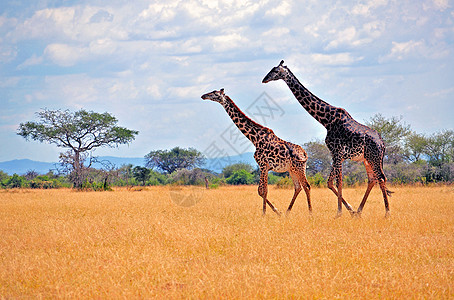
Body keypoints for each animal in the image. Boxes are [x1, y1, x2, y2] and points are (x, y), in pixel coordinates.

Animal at [202, 87, 312, 216]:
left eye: (215, 93)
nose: (203, 96)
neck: (254, 139)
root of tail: (304, 153)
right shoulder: (266, 167)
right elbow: (261, 191)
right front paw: (277, 212)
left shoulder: (263, 165)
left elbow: (263, 190)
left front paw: (264, 214)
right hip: (292, 169)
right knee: (298, 187)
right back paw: (286, 212)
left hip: (299, 167)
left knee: (306, 186)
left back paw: (310, 213)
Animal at [260, 59, 392, 217]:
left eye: (275, 70)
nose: (264, 79)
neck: (326, 120)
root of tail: (382, 143)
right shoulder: (337, 154)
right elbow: (330, 182)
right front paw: (350, 210)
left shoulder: (337, 152)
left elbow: (338, 181)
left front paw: (339, 213)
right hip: (367, 159)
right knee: (372, 179)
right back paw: (359, 211)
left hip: (373, 157)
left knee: (381, 178)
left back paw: (387, 213)